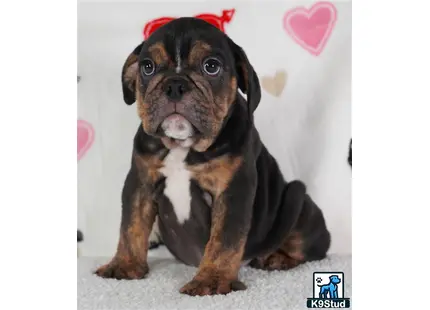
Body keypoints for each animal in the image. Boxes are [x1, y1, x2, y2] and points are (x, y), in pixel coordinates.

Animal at [95, 16, 330, 296]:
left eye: (211, 66)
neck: (182, 147)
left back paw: (278, 258)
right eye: (148, 67)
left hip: (297, 200)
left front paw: (212, 280)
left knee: (307, 244)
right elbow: (131, 227)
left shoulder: (232, 191)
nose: (174, 84)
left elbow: (224, 241)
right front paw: (124, 265)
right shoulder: (139, 184)